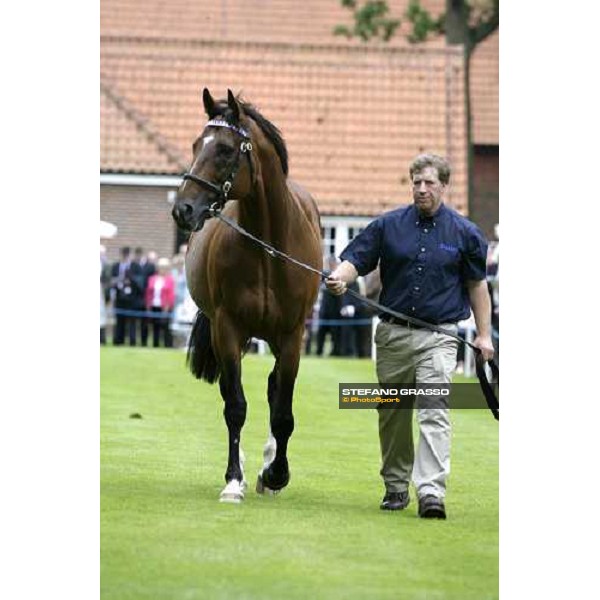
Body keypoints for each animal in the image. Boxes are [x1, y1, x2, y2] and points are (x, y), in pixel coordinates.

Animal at [172, 89, 324, 502]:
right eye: (196, 144)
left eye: (225, 149)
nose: (182, 209)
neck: (269, 248)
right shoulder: (228, 329)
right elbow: (236, 407)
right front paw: (233, 480)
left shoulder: (292, 336)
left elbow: (283, 412)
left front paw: (276, 474)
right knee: (232, 394)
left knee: (274, 390)